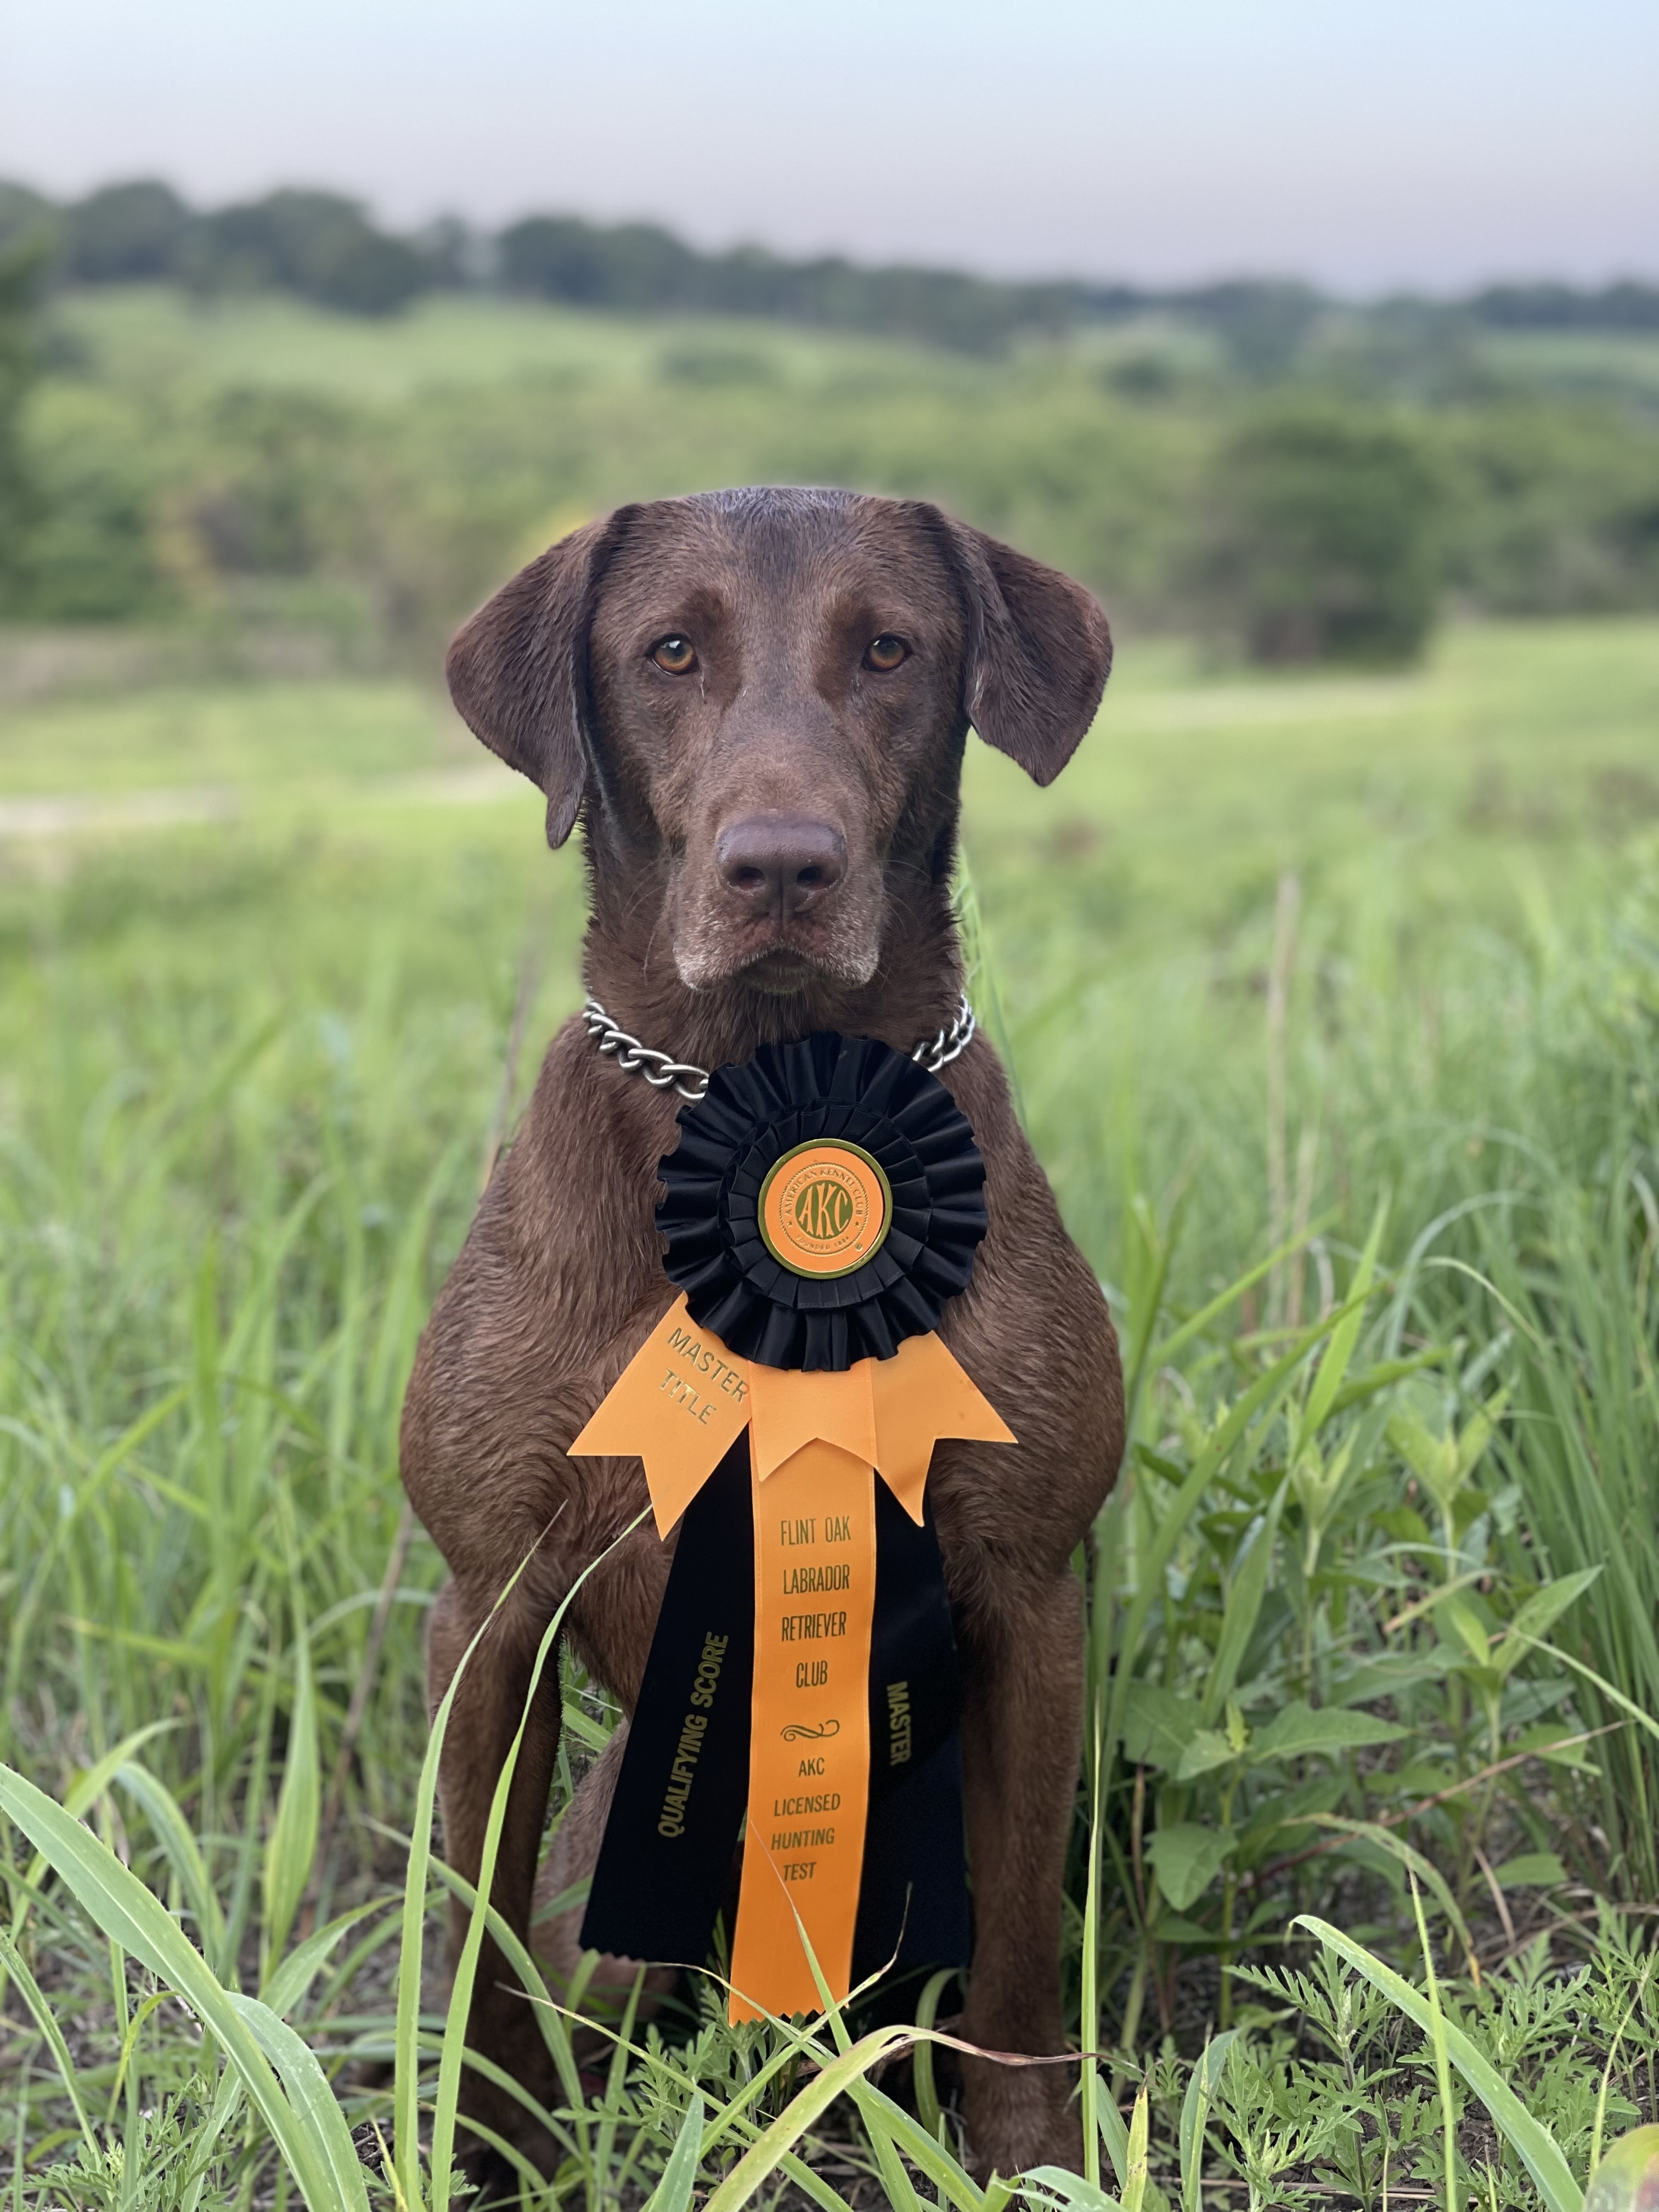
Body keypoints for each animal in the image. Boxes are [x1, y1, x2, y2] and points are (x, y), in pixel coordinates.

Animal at [402, 489, 1132, 2176]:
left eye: (892, 649)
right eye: (669, 651)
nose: (783, 868)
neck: (758, 1088)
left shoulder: (1027, 1596)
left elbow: (1016, 1951)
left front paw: (1029, 2157)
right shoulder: (490, 1608)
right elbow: (477, 1950)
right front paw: (490, 2161)